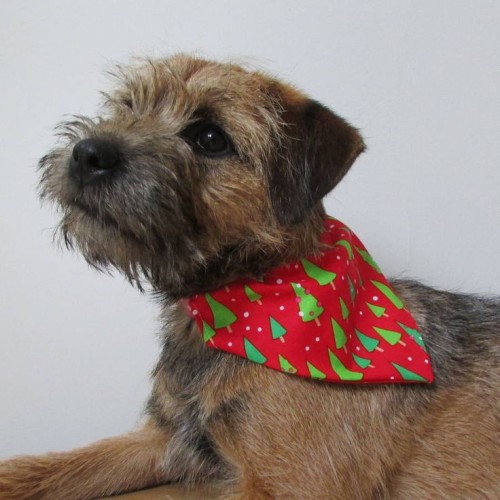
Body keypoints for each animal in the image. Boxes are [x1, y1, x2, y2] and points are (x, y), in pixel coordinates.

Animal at [0, 55, 500, 500]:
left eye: (209, 138)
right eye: (127, 107)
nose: (89, 153)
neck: (238, 298)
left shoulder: (296, 486)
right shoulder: (168, 440)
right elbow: (65, 464)